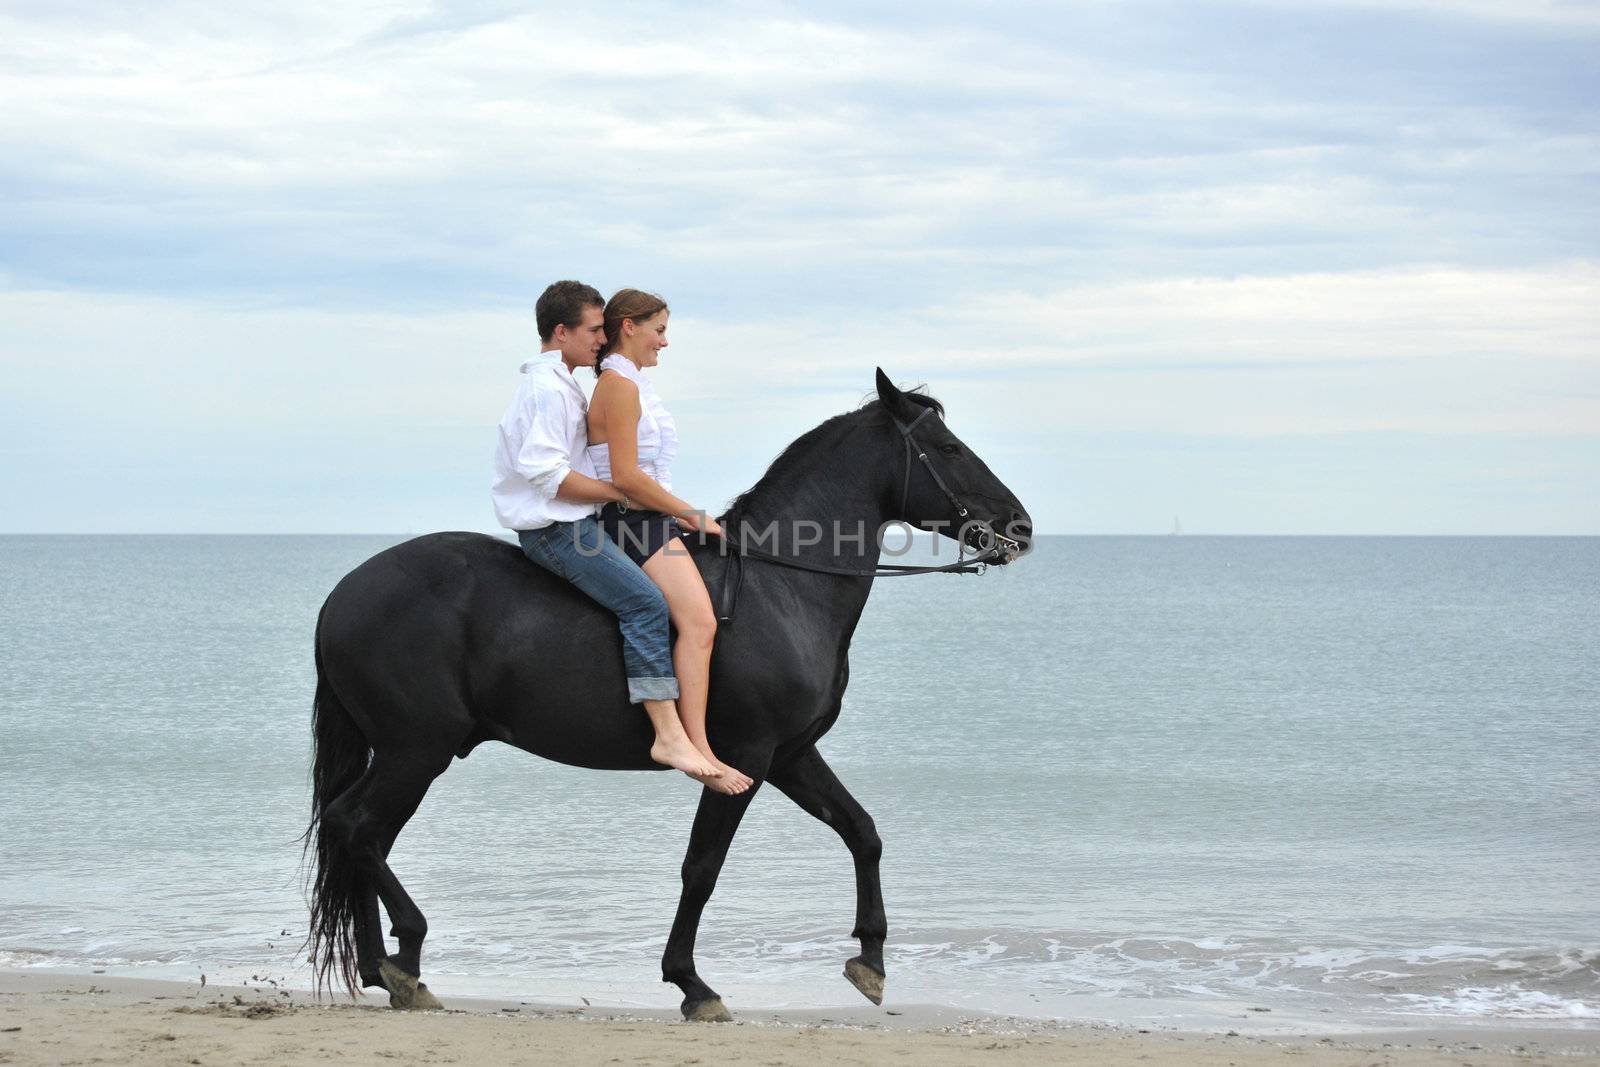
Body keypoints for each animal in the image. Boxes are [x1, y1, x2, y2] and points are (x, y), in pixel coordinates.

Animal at [305, 371, 1030, 1023]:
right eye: (948, 448)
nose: (1019, 528)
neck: (779, 584)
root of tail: (343, 594)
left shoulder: (792, 755)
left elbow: (863, 832)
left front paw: (871, 960)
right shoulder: (745, 758)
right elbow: (702, 868)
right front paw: (691, 983)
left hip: (409, 754)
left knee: (356, 832)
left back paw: (384, 967)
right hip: (415, 750)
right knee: (356, 827)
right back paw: (405, 953)